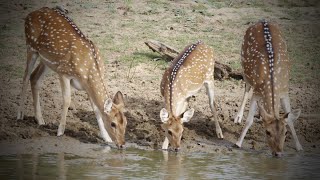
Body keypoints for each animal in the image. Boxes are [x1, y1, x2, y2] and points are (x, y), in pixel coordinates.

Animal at [15, 6, 126, 148]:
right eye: (113, 124)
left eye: (126, 122)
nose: (122, 144)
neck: (88, 71)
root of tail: (30, 13)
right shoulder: (64, 73)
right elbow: (67, 100)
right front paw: (60, 131)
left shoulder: (86, 85)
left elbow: (96, 108)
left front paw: (106, 138)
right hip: (31, 46)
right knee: (25, 76)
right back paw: (19, 115)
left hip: (47, 61)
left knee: (34, 77)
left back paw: (40, 120)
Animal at [234, 19, 302, 156]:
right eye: (267, 132)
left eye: (285, 132)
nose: (278, 153)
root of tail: (262, 20)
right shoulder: (257, 91)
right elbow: (249, 120)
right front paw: (238, 143)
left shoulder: (285, 90)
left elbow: (290, 120)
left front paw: (299, 147)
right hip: (243, 64)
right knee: (246, 88)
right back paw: (238, 117)